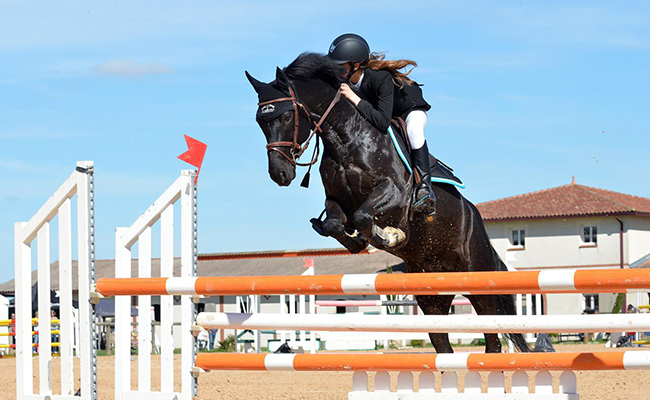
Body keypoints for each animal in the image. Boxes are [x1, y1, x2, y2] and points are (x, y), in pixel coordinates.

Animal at [246, 52, 528, 354]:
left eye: (287, 115)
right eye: (260, 122)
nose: (280, 174)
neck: (346, 140)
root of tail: (475, 217)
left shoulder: (394, 194)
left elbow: (364, 216)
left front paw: (390, 236)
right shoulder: (336, 201)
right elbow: (336, 224)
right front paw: (359, 241)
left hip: (478, 279)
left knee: (492, 339)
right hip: (432, 295)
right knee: (443, 344)